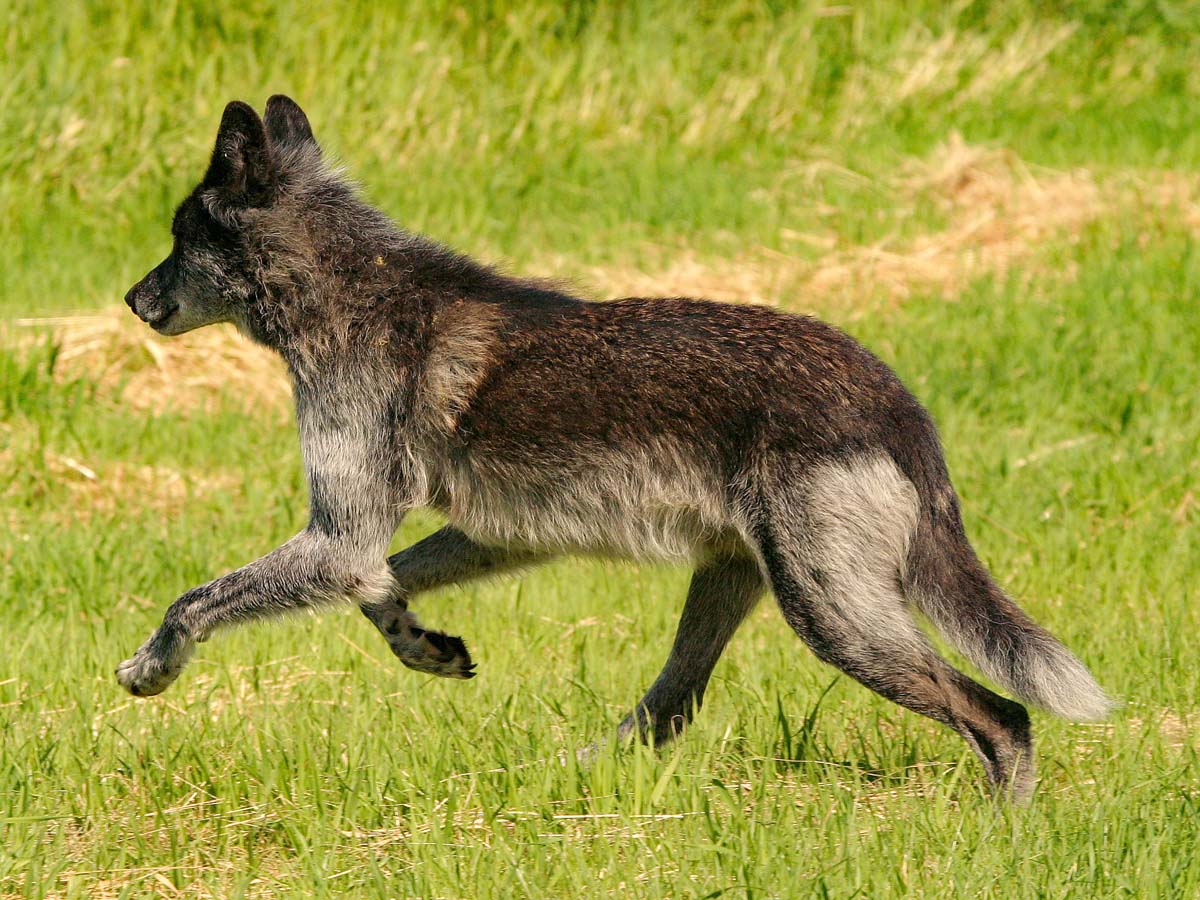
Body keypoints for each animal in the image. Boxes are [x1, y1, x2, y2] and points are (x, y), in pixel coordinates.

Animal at [117, 95, 1108, 801]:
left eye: (176, 238)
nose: (131, 299)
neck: (351, 291)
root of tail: (897, 406)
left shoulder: (338, 536)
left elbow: (193, 602)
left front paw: (149, 669)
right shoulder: (462, 538)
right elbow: (381, 595)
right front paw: (426, 650)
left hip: (837, 621)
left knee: (1003, 718)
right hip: (740, 591)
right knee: (669, 712)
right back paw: (565, 779)